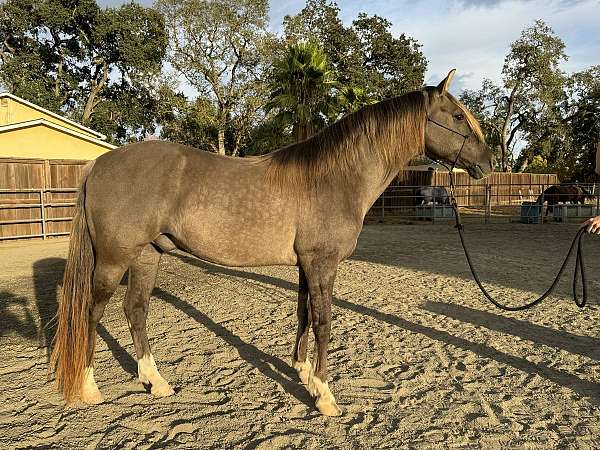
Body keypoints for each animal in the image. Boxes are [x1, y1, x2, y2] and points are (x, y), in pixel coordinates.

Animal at [51, 68, 492, 416]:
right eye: (457, 115)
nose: (488, 164)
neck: (333, 177)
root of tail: (99, 163)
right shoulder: (322, 262)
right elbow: (324, 323)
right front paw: (325, 397)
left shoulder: (305, 265)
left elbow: (303, 315)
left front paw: (304, 374)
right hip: (114, 259)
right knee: (92, 311)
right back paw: (89, 388)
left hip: (147, 255)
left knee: (136, 310)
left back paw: (155, 382)